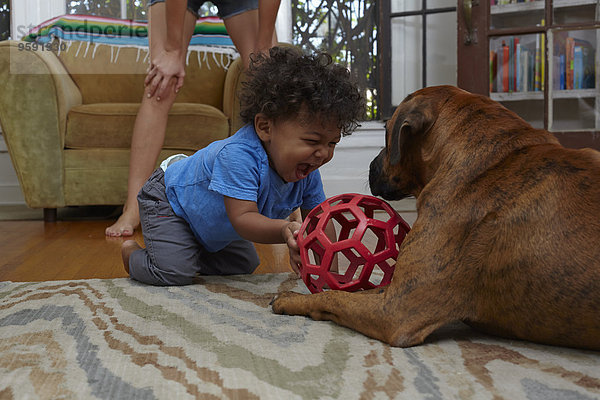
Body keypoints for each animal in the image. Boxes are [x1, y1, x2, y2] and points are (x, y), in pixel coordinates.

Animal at [274, 85, 600, 350]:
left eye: (387, 134)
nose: (369, 165)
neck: (492, 161)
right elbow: (359, 289)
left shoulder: (395, 310)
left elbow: (332, 296)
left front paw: (291, 298)